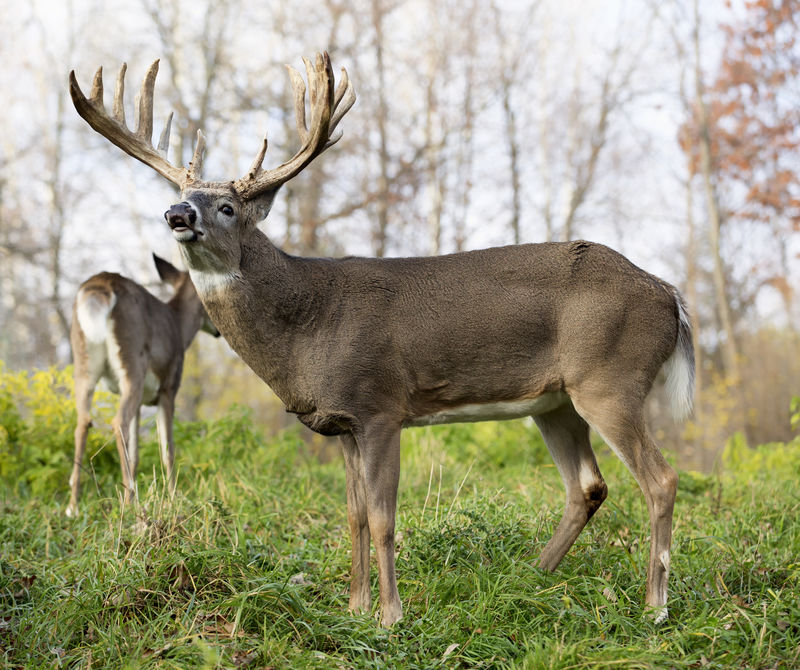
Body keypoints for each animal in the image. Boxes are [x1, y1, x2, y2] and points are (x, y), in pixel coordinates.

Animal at [66, 253, 219, 520]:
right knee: (118, 421)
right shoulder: (168, 389)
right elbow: (167, 450)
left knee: (82, 422)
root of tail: (99, 285)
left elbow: (136, 453)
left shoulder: (142, 402)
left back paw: (73, 506)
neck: (180, 329)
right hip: (132, 363)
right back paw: (130, 503)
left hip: (83, 364)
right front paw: (174, 498)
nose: (219, 330)